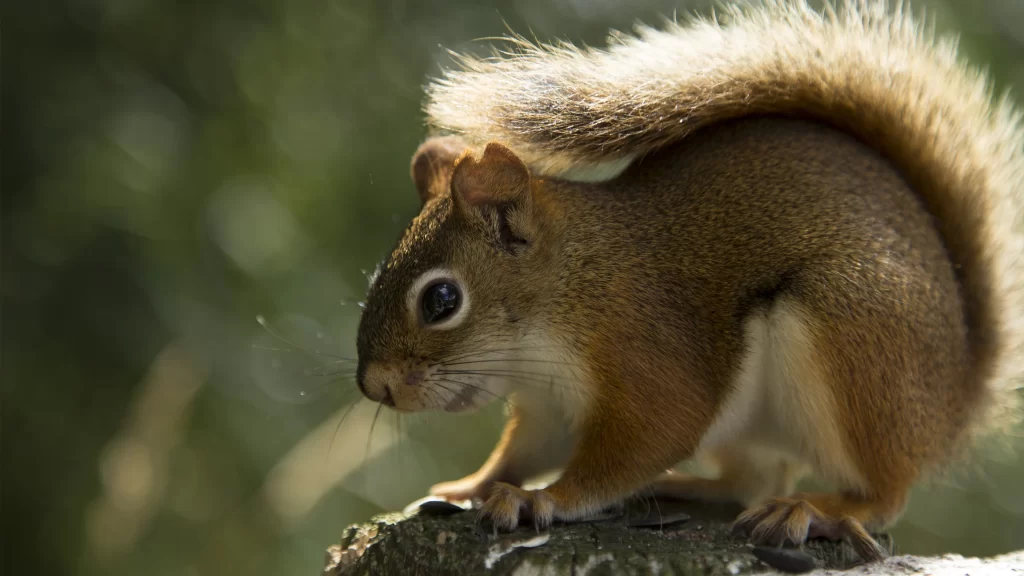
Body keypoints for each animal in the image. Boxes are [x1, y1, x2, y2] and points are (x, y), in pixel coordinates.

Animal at [354, 0, 1024, 561]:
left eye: (441, 299)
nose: (374, 387)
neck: (567, 291)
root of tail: (952, 403)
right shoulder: (546, 407)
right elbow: (522, 453)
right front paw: (471, 485)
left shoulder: (649, 355)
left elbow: (643, 442)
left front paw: (540, 499)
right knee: (751, 480)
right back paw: (688, 488)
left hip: (849, 344)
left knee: (882, 494)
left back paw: (813, 509)